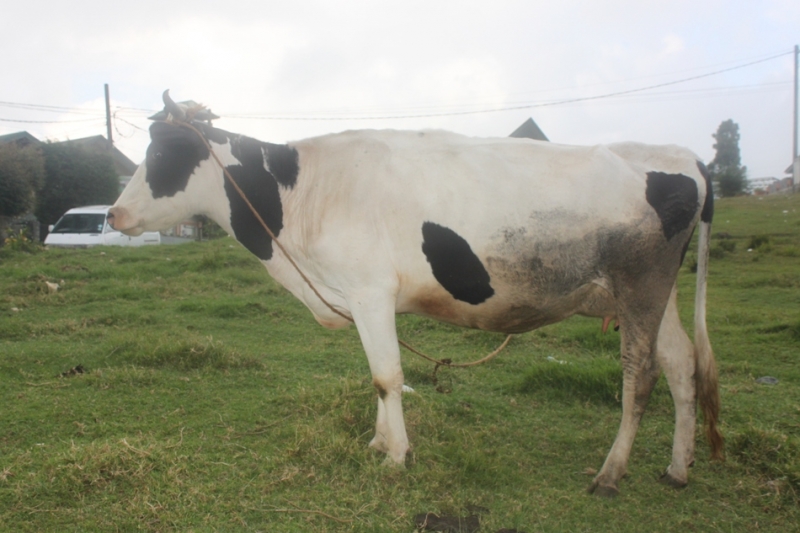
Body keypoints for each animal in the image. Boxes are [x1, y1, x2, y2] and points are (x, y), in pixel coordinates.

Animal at [106, 90, 720, 494]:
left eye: (160, 156)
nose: (113, 213)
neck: (301, 195)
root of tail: (683, 156)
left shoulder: (369, 290)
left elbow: (387, 376)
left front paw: (397, 455)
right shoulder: (364, 298)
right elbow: (380, 378)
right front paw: (380, 443)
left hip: (640, 286)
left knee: (640, 373)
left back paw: (611, 473)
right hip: (653, 295)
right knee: (680, 363)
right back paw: (678, 468)